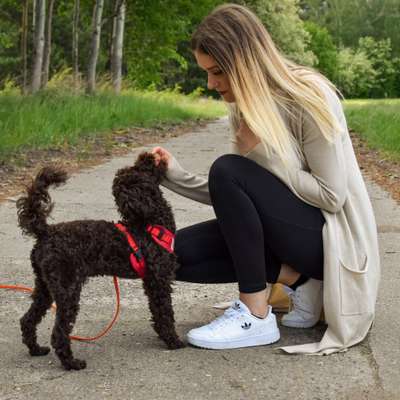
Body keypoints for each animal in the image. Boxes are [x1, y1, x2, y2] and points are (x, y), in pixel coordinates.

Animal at [15, 152, 184, 370]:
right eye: (139, 168)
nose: (147, 155)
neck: (150, 222)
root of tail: (46, 232)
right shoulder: (159, 280)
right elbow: (165, 312)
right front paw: (173, 341)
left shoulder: (150, 281)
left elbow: (157, 312)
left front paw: (163, 336)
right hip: (68, 289)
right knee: (59, 333)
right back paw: (72, 363)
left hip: (44, 286)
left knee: (27, 320)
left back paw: (36, 349)